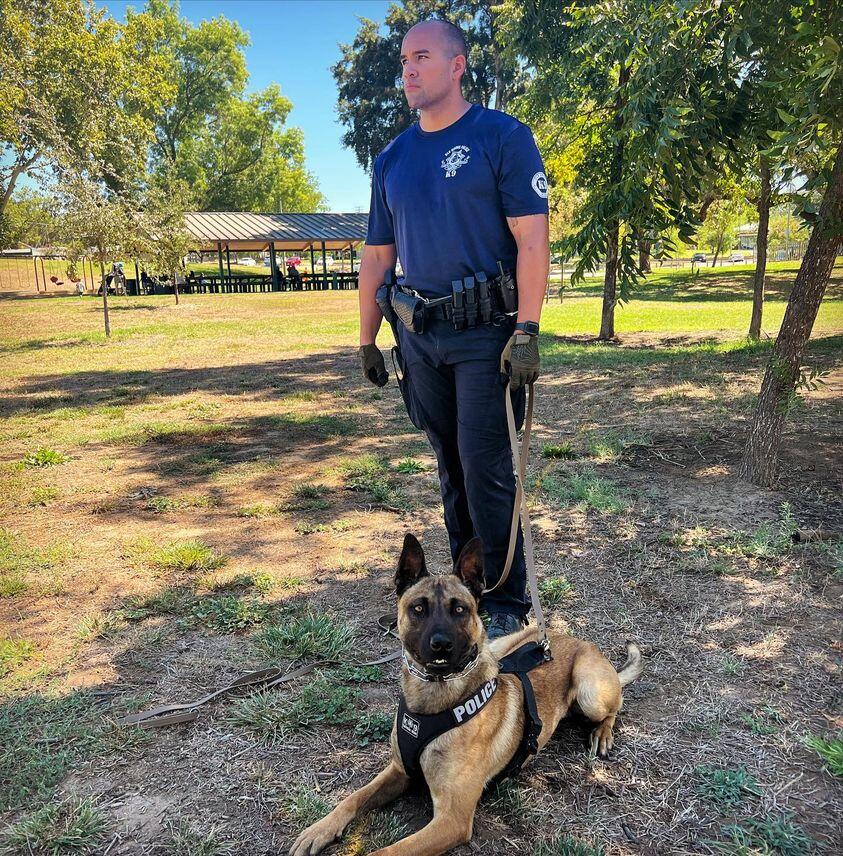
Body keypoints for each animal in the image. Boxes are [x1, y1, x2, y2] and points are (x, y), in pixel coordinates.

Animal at [288, 532, 640, 852]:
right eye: (418, 608)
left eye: (459, 609)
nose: (441, 644)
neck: (434, 702)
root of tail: (569, 638)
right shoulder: (399, 771)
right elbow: (353, 797)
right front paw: (320, 829)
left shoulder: (451, 820)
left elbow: (388, 851)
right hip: (500, 648)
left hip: (589, 692)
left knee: (614, 707)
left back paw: (602, 733)